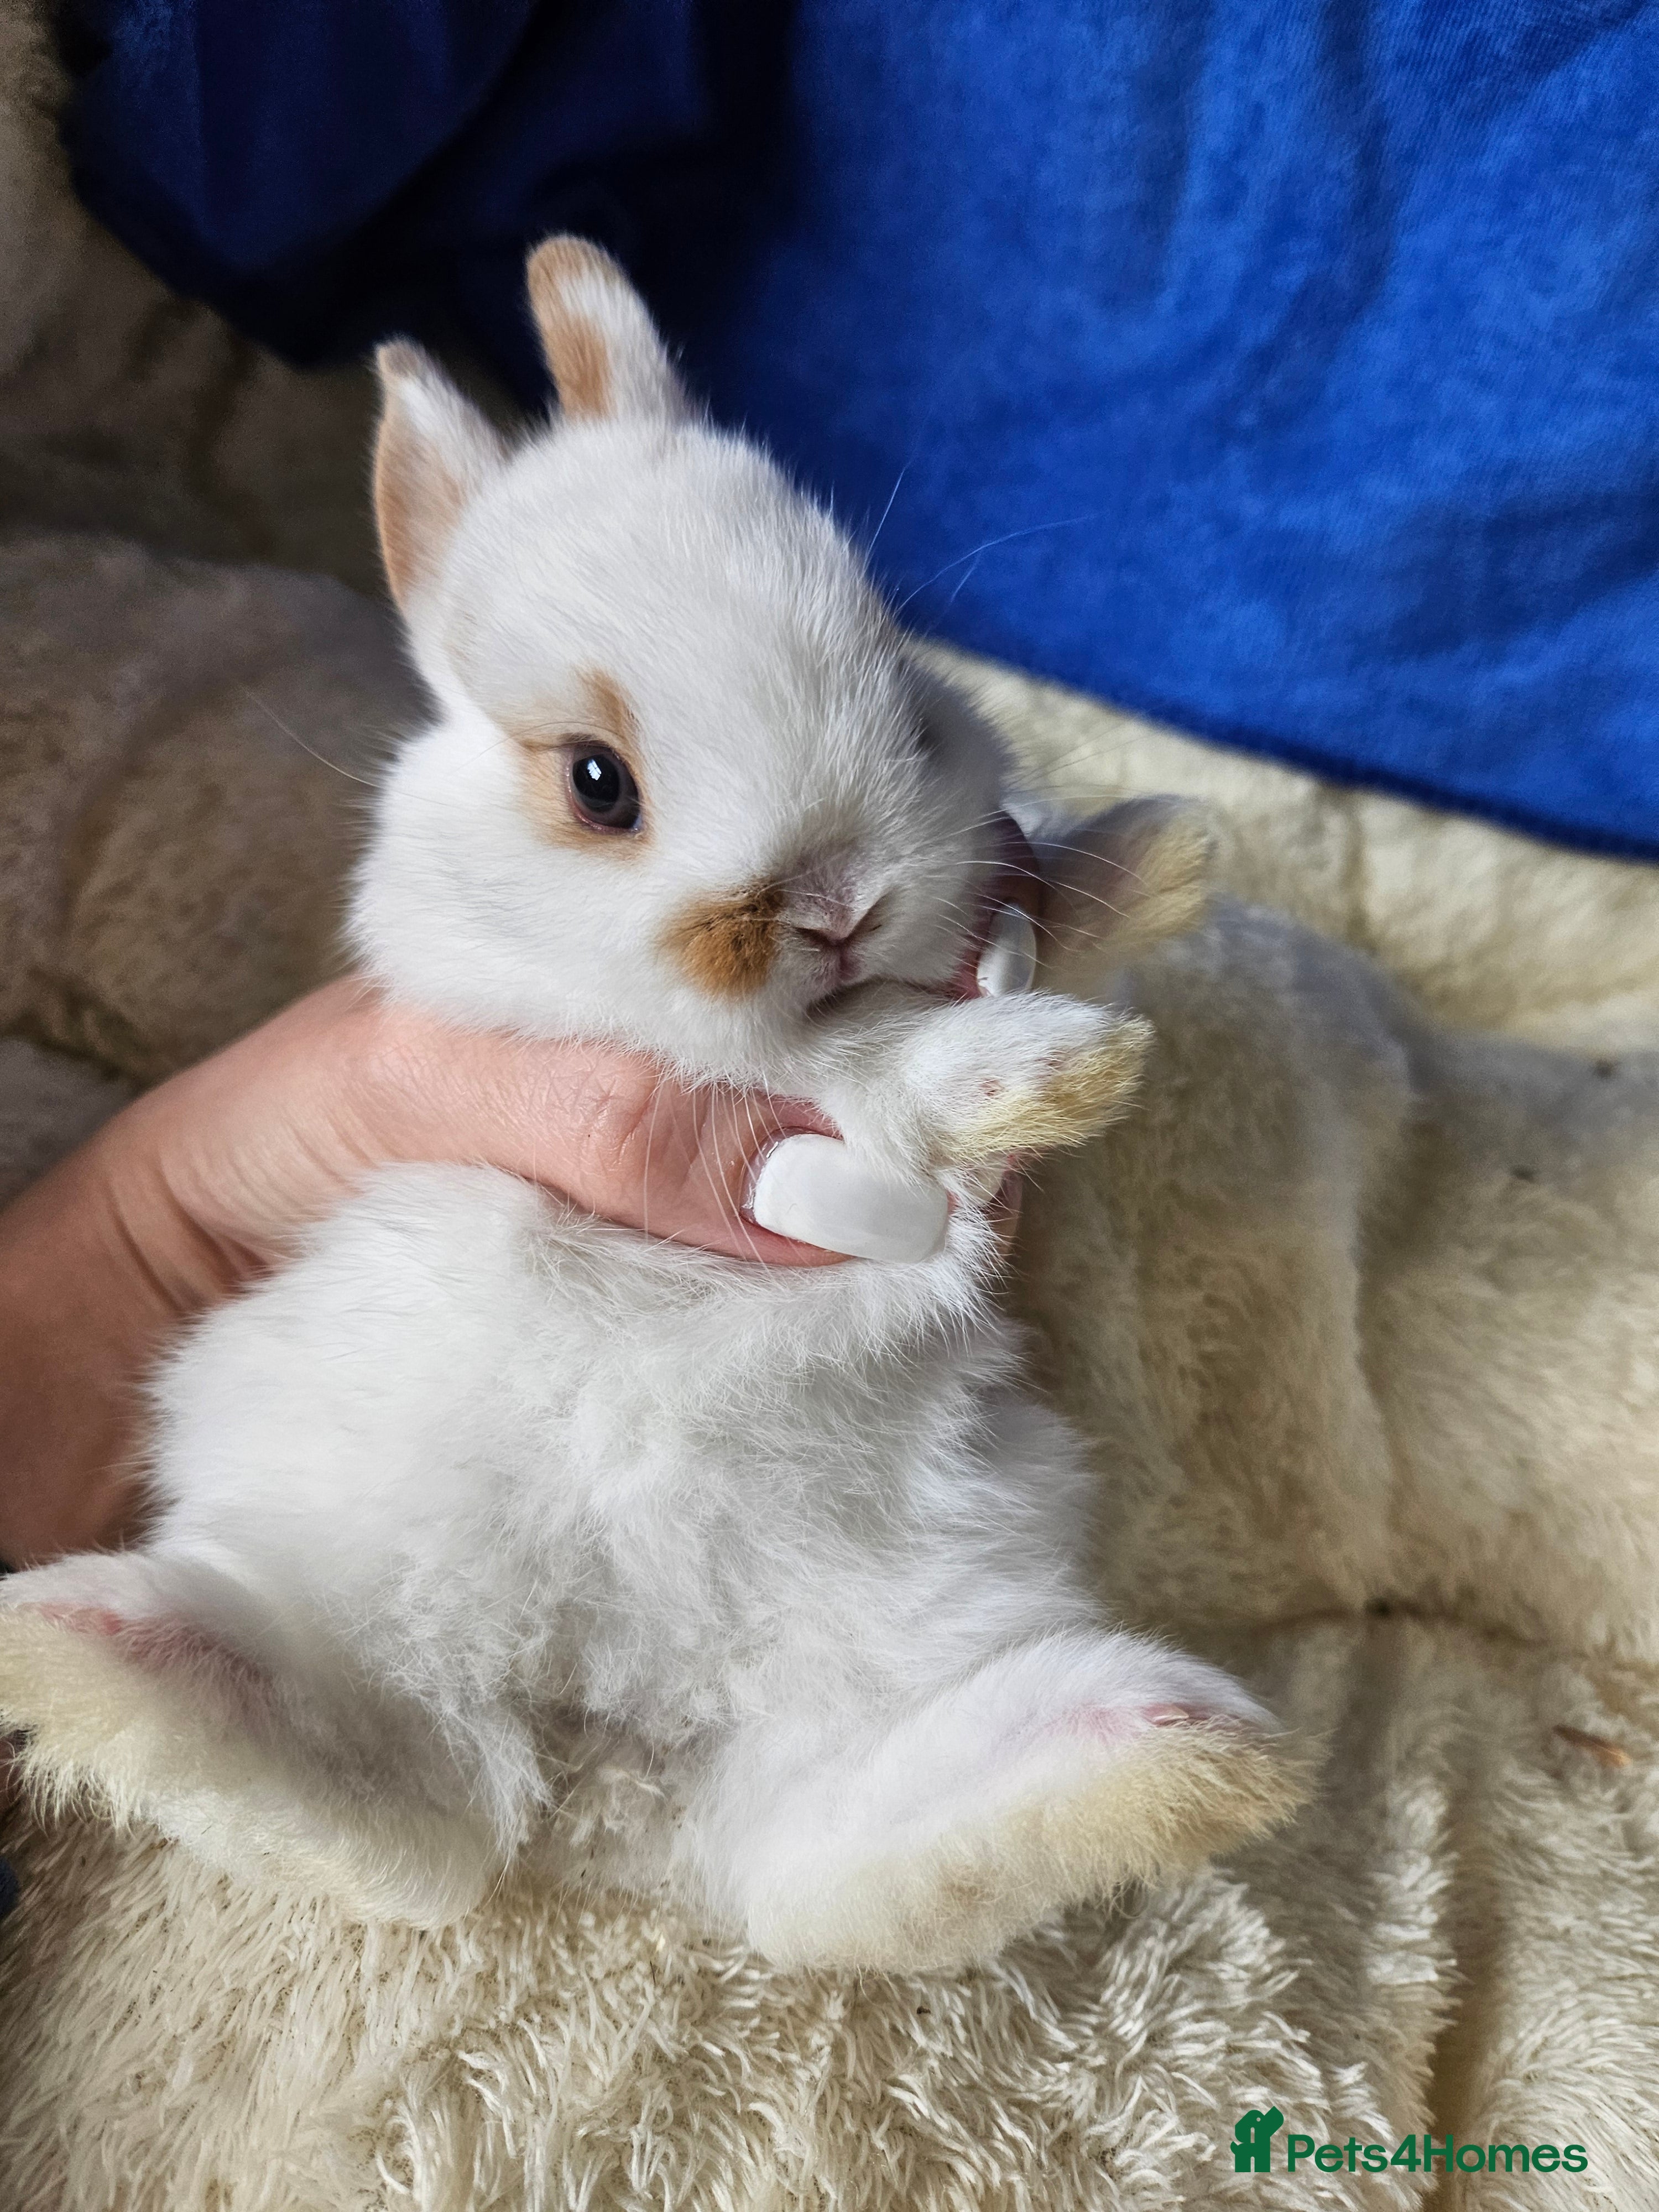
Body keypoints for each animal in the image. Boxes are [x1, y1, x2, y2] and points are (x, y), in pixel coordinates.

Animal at [1, 239, 1298, 1970]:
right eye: (598, 782)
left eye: (903, 690)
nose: (837, 899)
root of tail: (612, 1767)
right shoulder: (607, 1048)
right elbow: (832, 1075)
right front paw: (1036, 1071)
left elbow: (1028, 908)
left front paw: (1155, 854)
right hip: (363, 1564)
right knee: (405, 1801)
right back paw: (80, 1646)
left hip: (916, 1619)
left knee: (821, 1864)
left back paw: (1171, 1754)